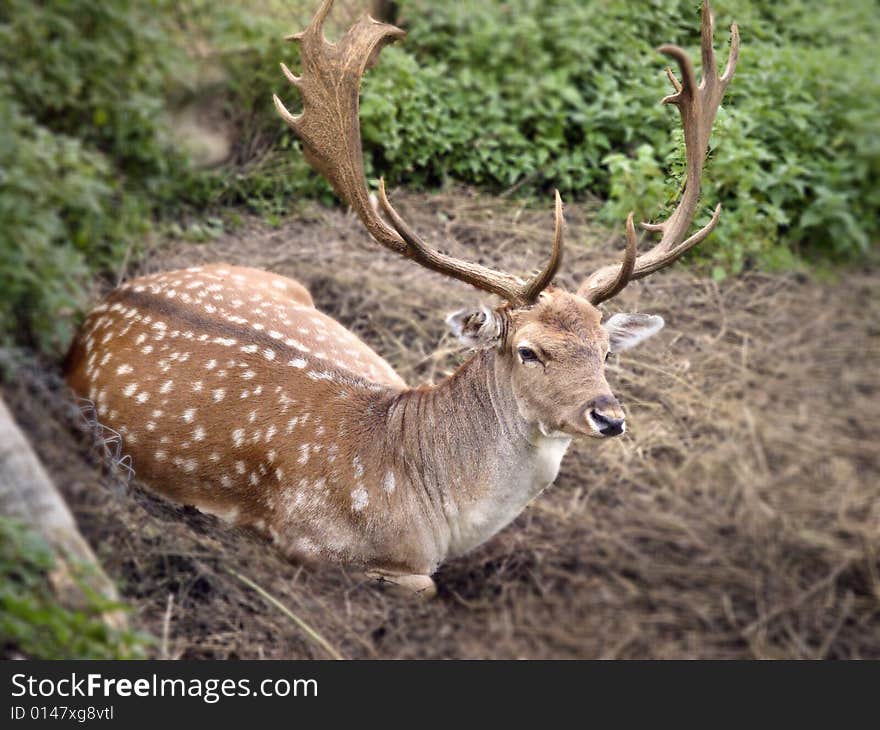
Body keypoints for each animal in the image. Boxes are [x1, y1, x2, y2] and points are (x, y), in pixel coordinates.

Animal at [65, 0, 736, 596]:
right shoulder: (309, 544)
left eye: (606, 351)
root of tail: (103, 304)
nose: (609, 416)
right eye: (529, 351)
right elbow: (426, 587)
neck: (424, 509)